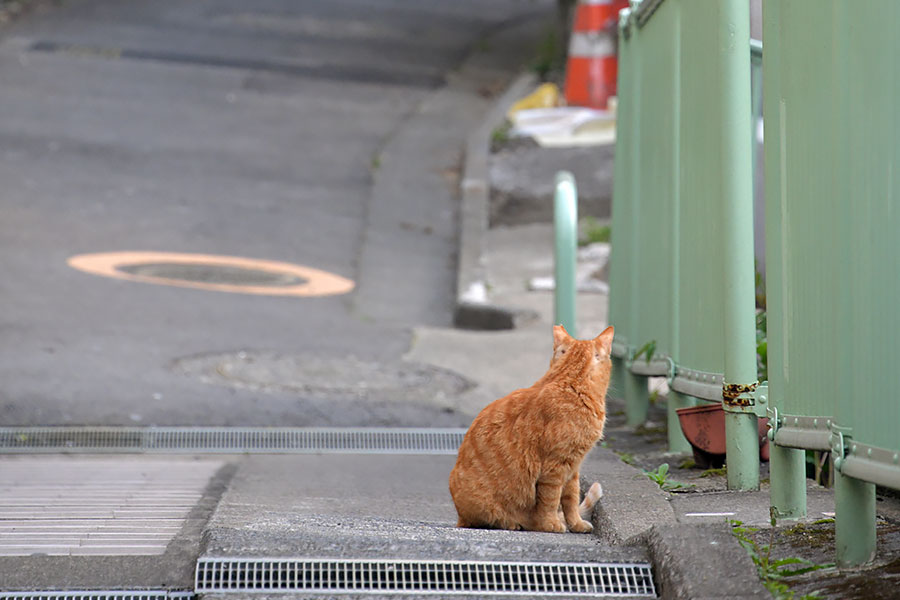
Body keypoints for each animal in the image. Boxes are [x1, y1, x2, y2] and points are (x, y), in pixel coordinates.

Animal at [448, 326, 612, 532]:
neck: (570, 384)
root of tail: (459, 517)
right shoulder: (554, 468)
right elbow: (551, 500)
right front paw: (551, 524)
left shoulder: (573, 468)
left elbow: (571, 499)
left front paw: (576, 524)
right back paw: (512, 523)